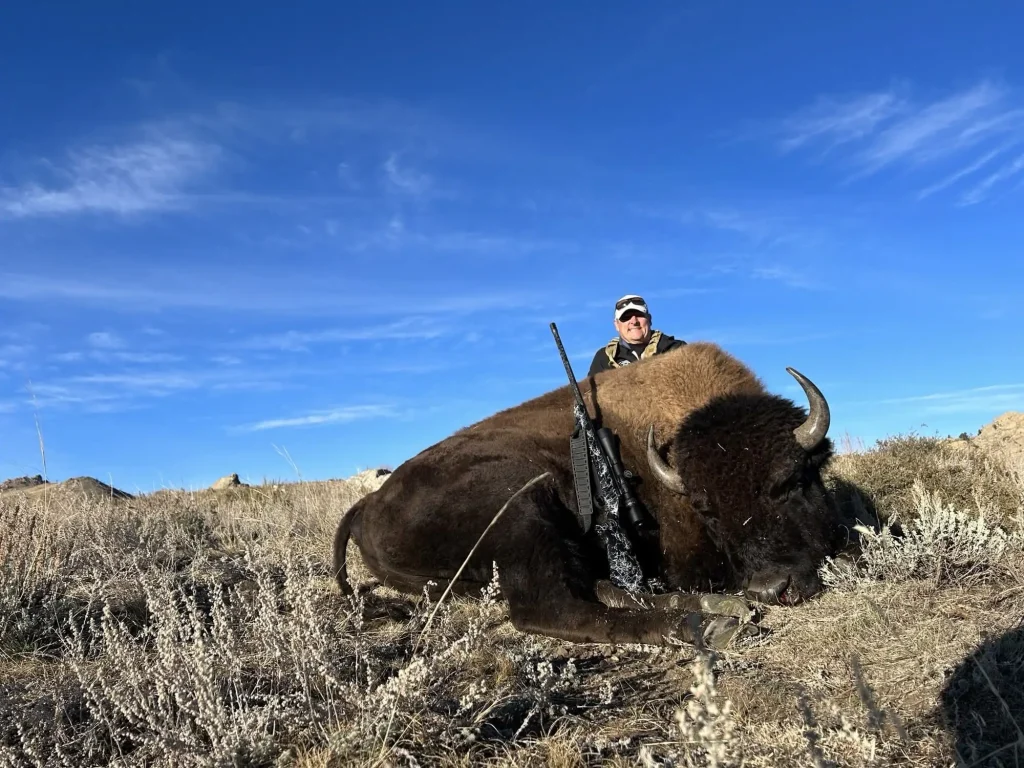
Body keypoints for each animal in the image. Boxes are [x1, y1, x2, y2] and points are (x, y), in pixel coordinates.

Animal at [333, 341, 840, 650]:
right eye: (707, 510)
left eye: (790, 481)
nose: (772, 589)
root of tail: (366, 504)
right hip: (521, 501)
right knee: (550, 608)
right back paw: (713, 624)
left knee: (598, 589)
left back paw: (719, 609)